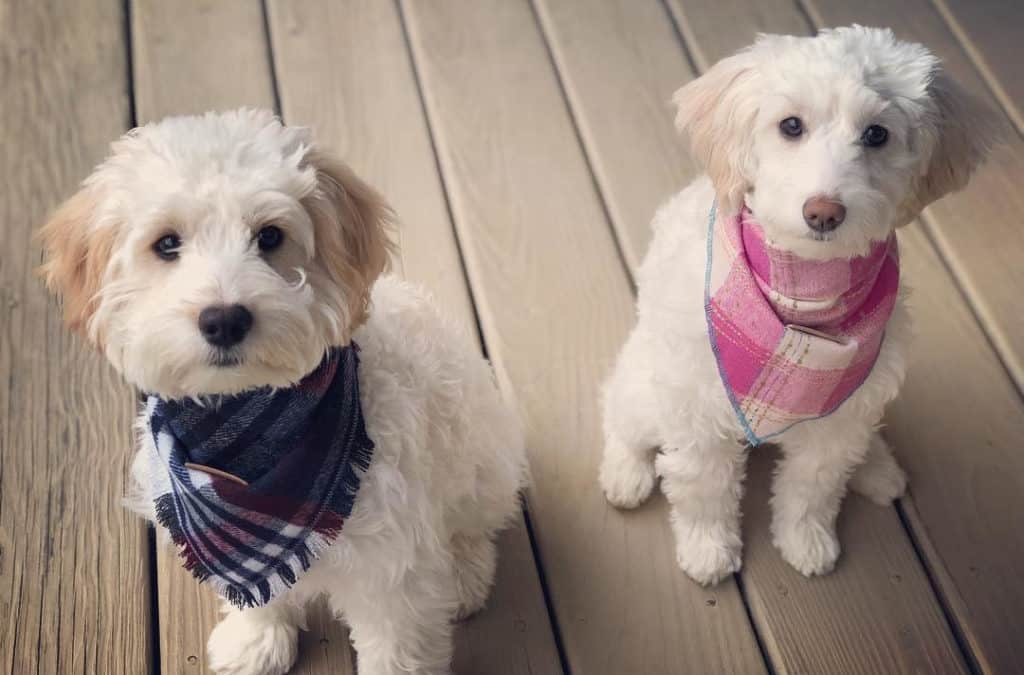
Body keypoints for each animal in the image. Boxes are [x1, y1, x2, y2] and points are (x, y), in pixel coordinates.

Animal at [39, 108, 528, 671]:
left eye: (269, 237)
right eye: (166, 244)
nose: (224, 319)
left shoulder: (392, 570)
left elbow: (395, 649)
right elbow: (255, 593)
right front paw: (254, 640)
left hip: (480, 461)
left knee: (478, 522)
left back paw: (465, 574)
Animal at [598, 27, 991, 585]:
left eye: (877, 134)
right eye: (790, 125)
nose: (823, 211)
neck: (807, 292)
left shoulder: (839, 416)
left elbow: (813, 486)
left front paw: (806, 541)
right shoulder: (696, 407)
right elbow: (704, 486)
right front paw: (707, 548)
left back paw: (877, 467)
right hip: (644, 386)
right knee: (618, 416)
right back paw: (624, 473)